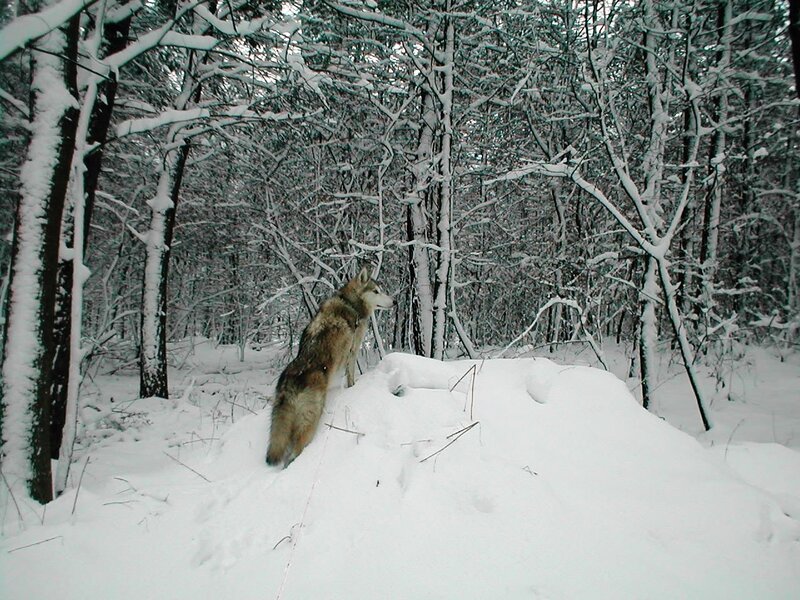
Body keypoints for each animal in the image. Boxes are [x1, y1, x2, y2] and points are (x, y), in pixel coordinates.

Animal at [265, 266, 394, 467]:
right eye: (376, 291)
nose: (394, 302)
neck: (350, 304)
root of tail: (290, 382)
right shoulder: (352, 352)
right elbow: (351, 378)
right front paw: (353, 387)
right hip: (311, 422)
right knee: (295, 452)